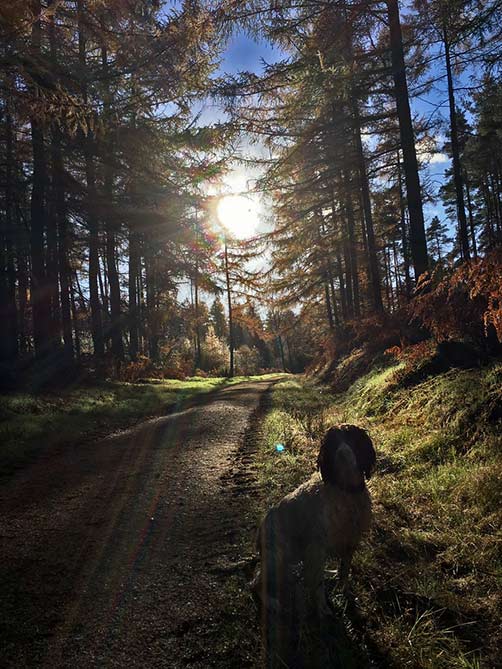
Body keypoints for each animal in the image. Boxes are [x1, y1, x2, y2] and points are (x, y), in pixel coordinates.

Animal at [253, 426, 374, 620]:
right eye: (332, 442)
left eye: (352, 437)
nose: (342, 454)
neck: (345, 491)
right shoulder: (317, 549)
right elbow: (318, 584)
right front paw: (322, 608)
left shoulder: (350, 542)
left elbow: (344, 572)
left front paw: (345, 591)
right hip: (278, 555)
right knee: (255, 582)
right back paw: (272, 603)